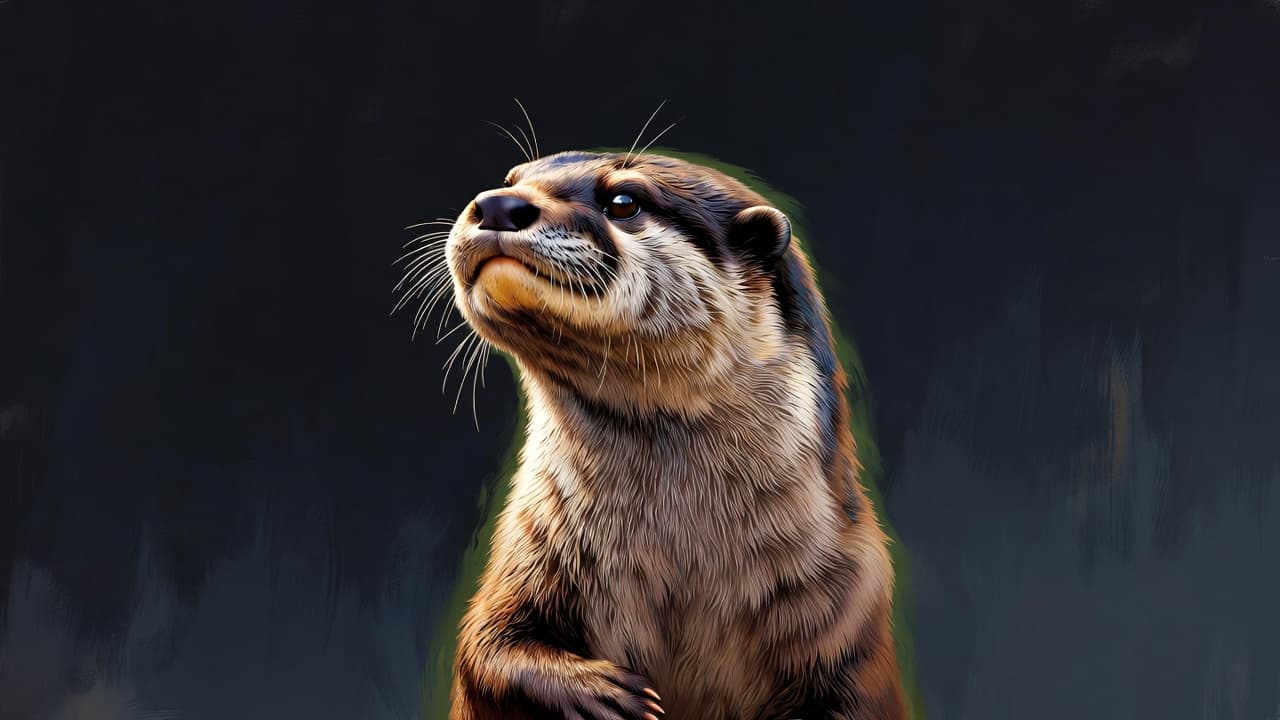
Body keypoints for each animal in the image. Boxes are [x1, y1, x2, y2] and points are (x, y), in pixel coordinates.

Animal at [442, 150, 908, 720]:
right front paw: (603, 693)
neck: (681, 567)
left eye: (624, 201)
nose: (497, 205)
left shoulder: (850, 607)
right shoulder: (524, 559)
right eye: (511, 179)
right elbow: (485, 649)